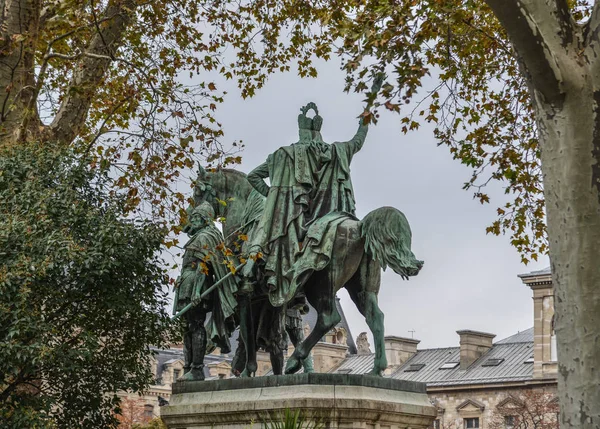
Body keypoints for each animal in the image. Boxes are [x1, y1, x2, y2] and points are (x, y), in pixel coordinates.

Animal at [196, 167, 422, 374]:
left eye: (198, 193)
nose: (193, 219)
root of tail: (360, 227)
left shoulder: (247, 295)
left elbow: (248, 333)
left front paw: (247, 370)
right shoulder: (268, 299)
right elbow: (260, 337)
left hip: (320, 284)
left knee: (329, 318)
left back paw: (295, 360)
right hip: (362, 288)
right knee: (375, 317)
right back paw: (376, 370)